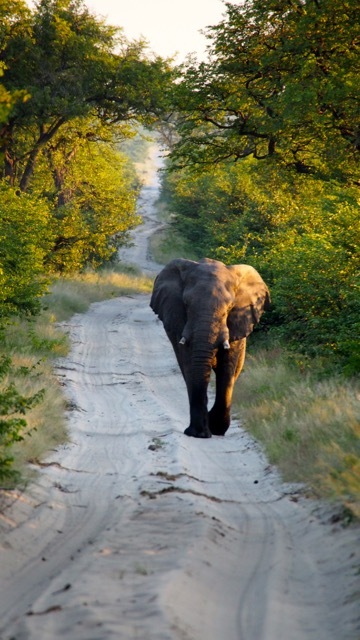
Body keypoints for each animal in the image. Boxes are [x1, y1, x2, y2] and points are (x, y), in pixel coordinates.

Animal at [150, 258, 270, 438]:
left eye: (230, 307)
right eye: (186, 304)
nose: (202, 432)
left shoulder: (236, 323)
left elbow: (227, 368)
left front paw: (217, 428)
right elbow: (189, 365)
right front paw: (198, 433)